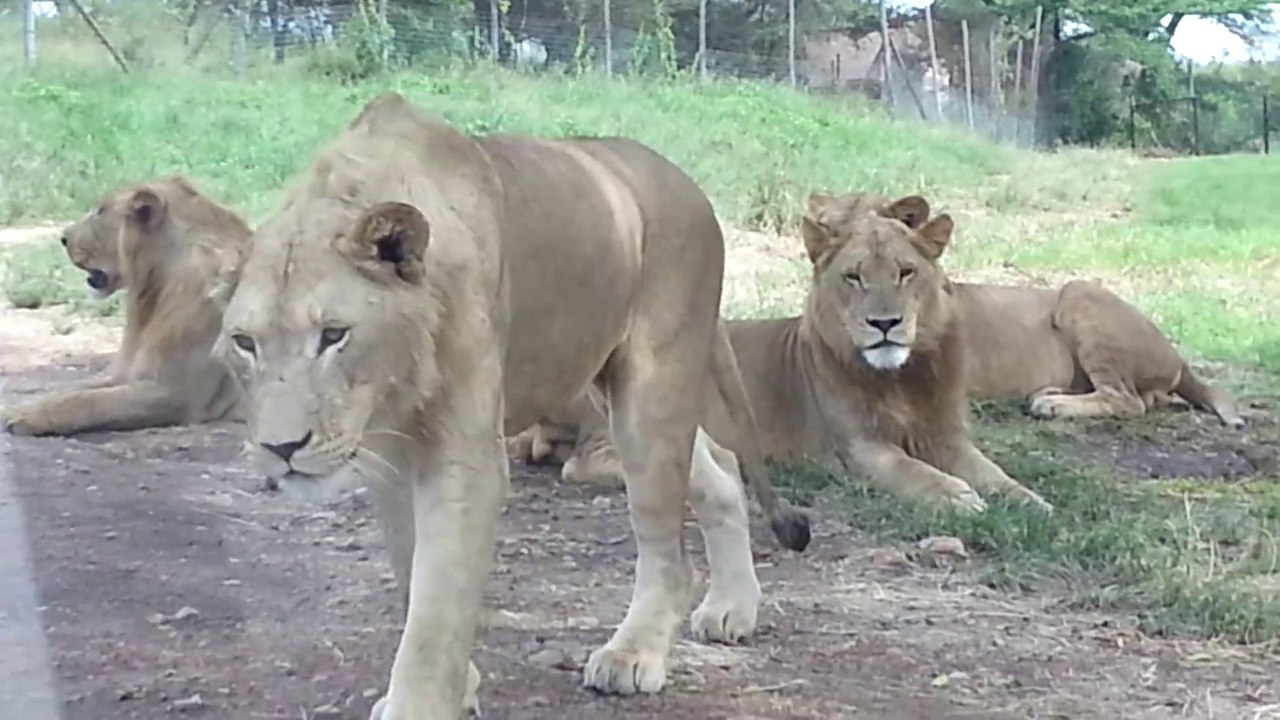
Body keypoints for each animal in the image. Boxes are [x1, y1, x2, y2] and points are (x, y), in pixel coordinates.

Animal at [1, 176, 250, 437]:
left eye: (101, 211)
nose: (63, 238)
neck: (153, 295)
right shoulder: (123, 371)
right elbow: (75, 389)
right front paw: (24, 406)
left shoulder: (178, 393)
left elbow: (89, 401)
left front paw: (26, 415)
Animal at [214, 92, 810, 719]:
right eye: (245, 342)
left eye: (333, 335)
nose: (282, 448)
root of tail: (686, 182)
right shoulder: (392, 454)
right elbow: (412, 571)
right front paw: (460, 685)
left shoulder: (463, 459)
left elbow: (437, 598)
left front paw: (421, 702)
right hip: (608, 388)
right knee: (719, 466)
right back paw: (733, 608)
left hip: (651, 389)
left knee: (668, 551)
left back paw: (633, 654)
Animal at [513, 193, 1060, 515]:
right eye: (854, 277)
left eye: (906, 273)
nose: (884, 324)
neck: (903, 379)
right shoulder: (859, 448)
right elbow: (914, 471)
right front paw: (957, 496)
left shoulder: (947, 437)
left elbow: (994, 473)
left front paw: (1030, 500)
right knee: (590, 463)